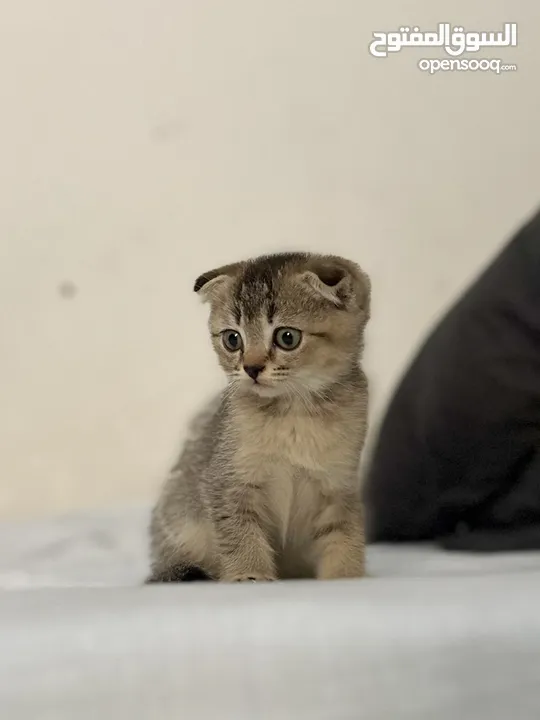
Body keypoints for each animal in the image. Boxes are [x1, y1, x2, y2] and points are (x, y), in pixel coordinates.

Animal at [148, 250, 372, 584]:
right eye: (232, 339)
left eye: (287, 337)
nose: (251, 368)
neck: (295, 414)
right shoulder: (228, 482)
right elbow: (241, 533)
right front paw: (249, 574)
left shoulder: (338, 487)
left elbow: (344, 536)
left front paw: (345, 576)